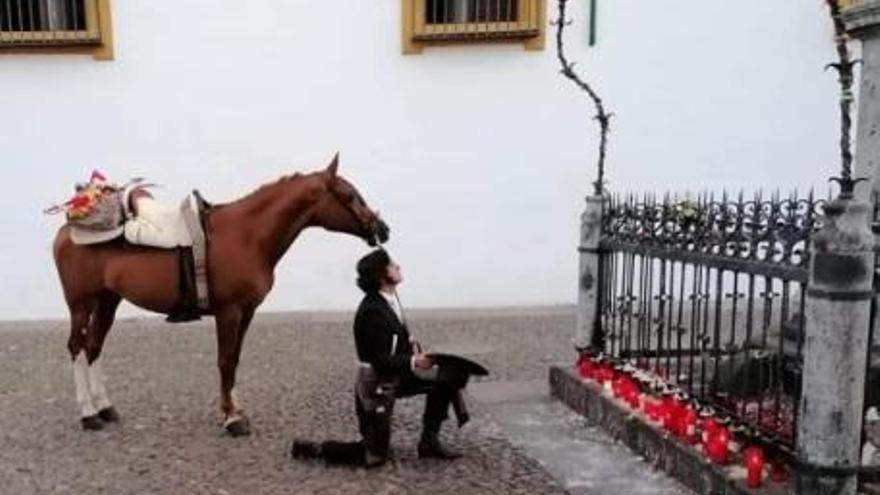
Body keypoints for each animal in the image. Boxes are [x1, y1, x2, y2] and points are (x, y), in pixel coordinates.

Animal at [51, 157, 388, 436]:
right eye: (349, 195)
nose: (383, 229)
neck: (247, 235)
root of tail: (67, 229)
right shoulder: (229, 312)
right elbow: (225, 361)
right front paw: (232, 419)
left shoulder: (247, 312)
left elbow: (235, 360)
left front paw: (236, 410)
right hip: (81, 304)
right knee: (77, 347)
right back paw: (88, 415)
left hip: (108, 299)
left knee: (94, 347)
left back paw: (106, 409)